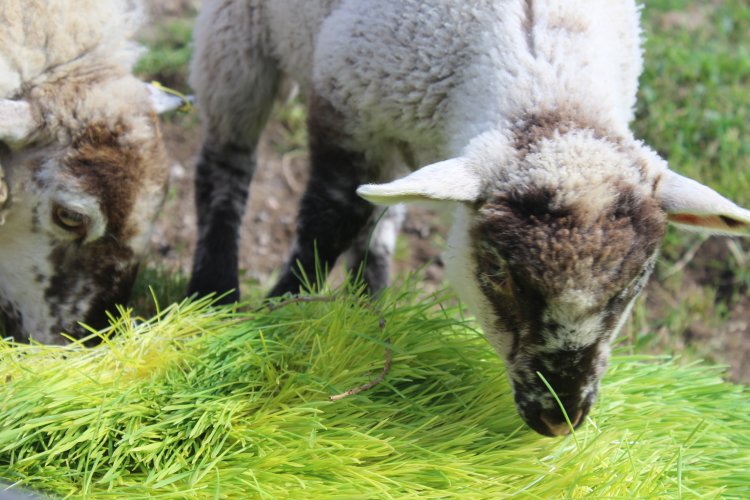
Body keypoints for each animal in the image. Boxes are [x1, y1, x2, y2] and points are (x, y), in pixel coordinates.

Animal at [189, 0, 750, 438]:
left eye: (631, 288)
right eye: (500, 273)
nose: (558, 419)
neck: (546, 80)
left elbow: (365, 214)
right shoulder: (348, 107)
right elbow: (331, 218)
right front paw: (281, 313)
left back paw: (368, 301)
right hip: (237, 32)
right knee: (226, 166)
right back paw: (212, 291)